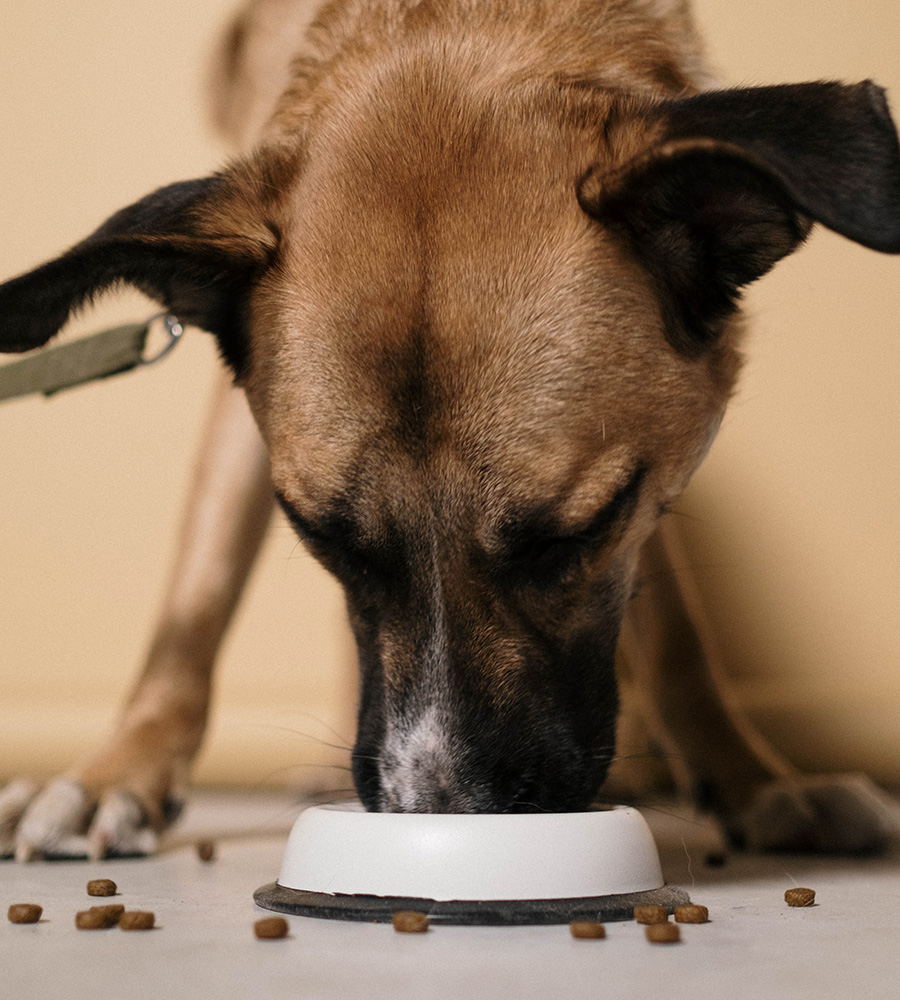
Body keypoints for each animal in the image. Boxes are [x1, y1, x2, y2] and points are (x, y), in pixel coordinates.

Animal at [1, 0, 900, 860]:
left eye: (574, 535)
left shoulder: (650, 471)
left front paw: (754, 780)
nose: (441, 813)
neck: (453, 24)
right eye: (323, 537)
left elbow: (676, 631)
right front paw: (118, 772)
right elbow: (195, 598)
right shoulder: (240, 409)